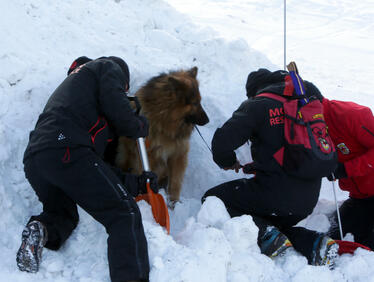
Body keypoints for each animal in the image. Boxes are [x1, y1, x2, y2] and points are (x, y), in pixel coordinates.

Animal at [116, 66, 209, 203]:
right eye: (195, 103)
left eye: (200, 101)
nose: (208, 120)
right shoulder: (151, 156)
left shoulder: (178, 154)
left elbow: (175, 183)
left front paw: (173, 203)